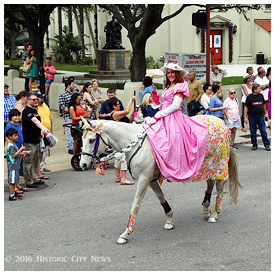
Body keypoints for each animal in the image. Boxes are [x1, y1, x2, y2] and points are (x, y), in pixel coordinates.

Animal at [79, 117, 242, 245]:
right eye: (82, 139)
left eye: (92, 140)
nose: (83, 164)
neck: (135, 143)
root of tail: (221, 122)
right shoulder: (150, 180)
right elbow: (161, 198)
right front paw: (169, 220)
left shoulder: (144, 180)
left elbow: (135, 205)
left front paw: (126, 233)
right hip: (209, 166)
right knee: (210, 184)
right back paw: (206, 209)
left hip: (219, 165)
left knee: (219, 188)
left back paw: (214, 214)